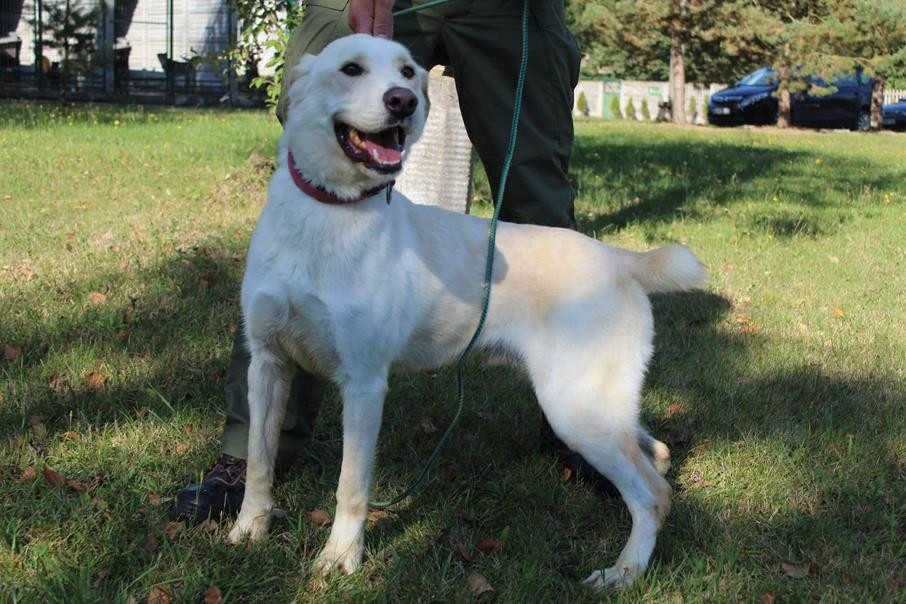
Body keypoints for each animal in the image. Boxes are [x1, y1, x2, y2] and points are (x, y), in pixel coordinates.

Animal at [228, 34, 708, 588]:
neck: (327, 213)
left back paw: (623, 572)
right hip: (602, 408)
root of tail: (619, 258)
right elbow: (258, 458)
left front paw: (340, 557)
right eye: (351, 69)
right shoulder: (267, 363)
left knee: (653, 495)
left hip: (576, 409)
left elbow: (352, 486)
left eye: (408, 72)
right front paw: (249, 527)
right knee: (658, 455)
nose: (403, 102)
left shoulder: (364, 384)